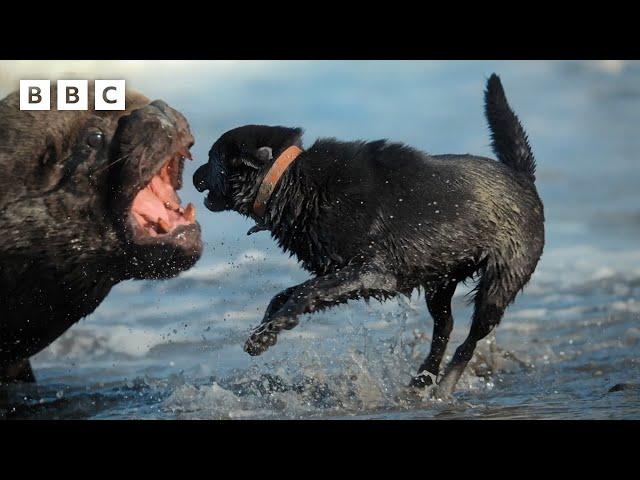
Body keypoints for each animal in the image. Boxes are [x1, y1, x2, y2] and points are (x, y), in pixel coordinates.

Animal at [192, 75, 544, 396]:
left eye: (211, 158)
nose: (194, 174)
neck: (290, 180)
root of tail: (523, 176)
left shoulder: (371, 272)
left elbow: (305, 292)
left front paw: (273, 330)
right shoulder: (338, 270)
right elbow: (285, 294)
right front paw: (264, 331)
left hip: (500, 282)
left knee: (470, 339)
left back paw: (444, 385)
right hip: (440, 277)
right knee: (444, 327)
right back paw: (421, 380)